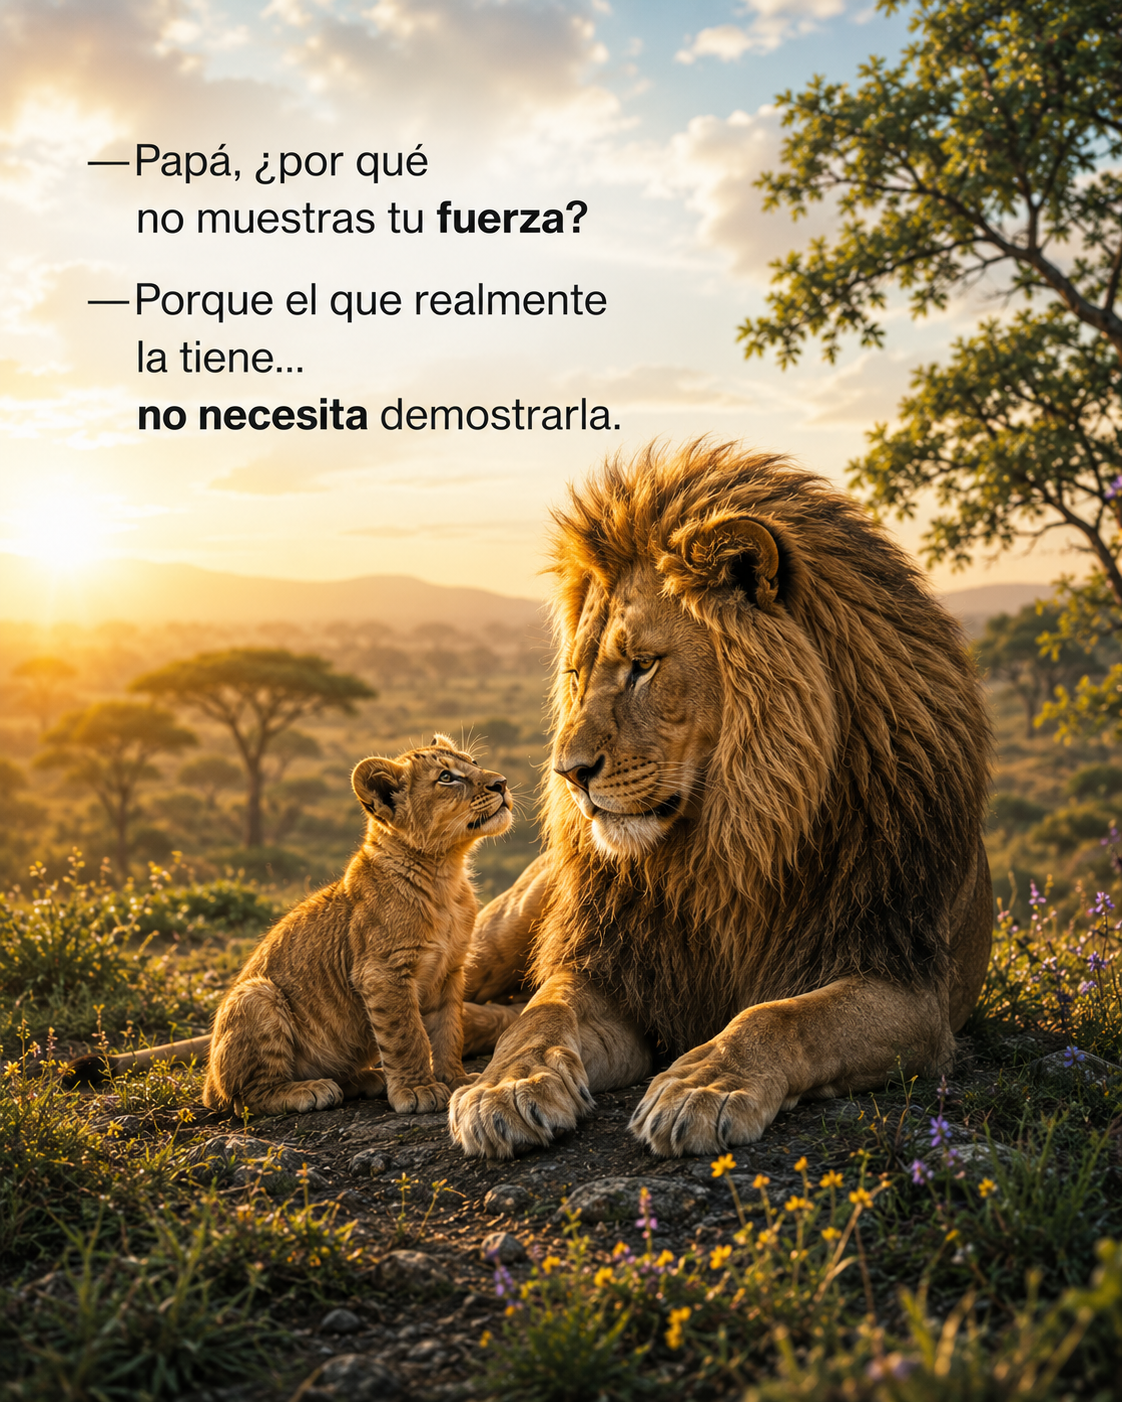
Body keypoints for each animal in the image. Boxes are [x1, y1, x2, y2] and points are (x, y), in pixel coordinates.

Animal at [65, 739, 522, 1108]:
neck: (446, 872)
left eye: (474, 762)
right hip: (257, 995)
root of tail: (208, 1078)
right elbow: (407, 1034)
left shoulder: (450, 970)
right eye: (447, 778)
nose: (501, 783)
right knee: (242, 1097)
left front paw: (456, 1078)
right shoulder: (383, 972)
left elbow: (448, 1031)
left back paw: (365, 1079)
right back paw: (311, 1090)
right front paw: (418, 1089)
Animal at [449, 442, 993, 1159]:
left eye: (643, 665)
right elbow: (542, 1016)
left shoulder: (908, 985)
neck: (727, 841)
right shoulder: (613, 969)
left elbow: (780, 1018)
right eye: (575, 674)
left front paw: (703, 1086)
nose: (569, 773)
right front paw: (505, 1087)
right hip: (512, 921)